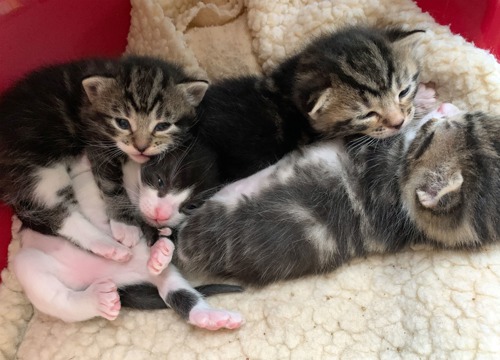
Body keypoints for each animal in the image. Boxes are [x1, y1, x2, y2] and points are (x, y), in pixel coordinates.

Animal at [0, 57, 208, 262]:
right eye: (122, 123)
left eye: (163, 126)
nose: (140, 147)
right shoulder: (97, 142)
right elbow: (111, 184)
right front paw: (125, 224)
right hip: (38, 166)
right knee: (58, 212)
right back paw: (109, 246)